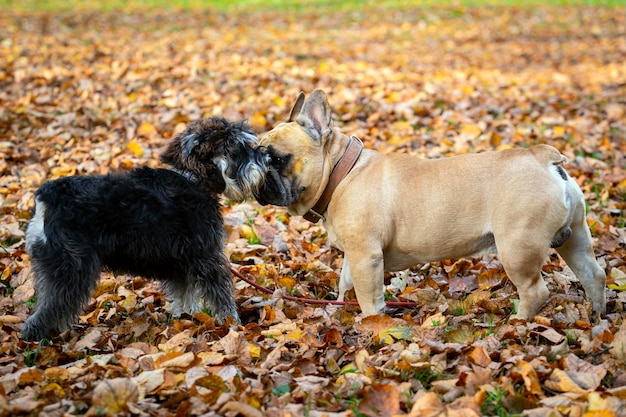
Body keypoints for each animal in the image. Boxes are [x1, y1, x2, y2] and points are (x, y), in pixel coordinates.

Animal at [21, 117, 266, 342]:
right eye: (238, 148)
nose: (266, 158)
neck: (193, 179)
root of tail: (45, 198)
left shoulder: (182, 263)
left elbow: (184, 294)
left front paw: (188, 318)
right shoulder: (208, 257)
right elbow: (221, 296)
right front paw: (232, 323)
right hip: (71, 270)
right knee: (50, 308)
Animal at [255, 89, 604, 320]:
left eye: (276, 158)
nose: (256, 173)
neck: (342, 172)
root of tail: (543, 157)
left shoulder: (365, 256)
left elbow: (368, 297)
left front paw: (370, 326)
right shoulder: (355, 255)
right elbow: (345, 283)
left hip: (518, 247)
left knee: (535, 291)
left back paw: (518, 323)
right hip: (575, 236)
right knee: (593, 274)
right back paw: (598, 313)